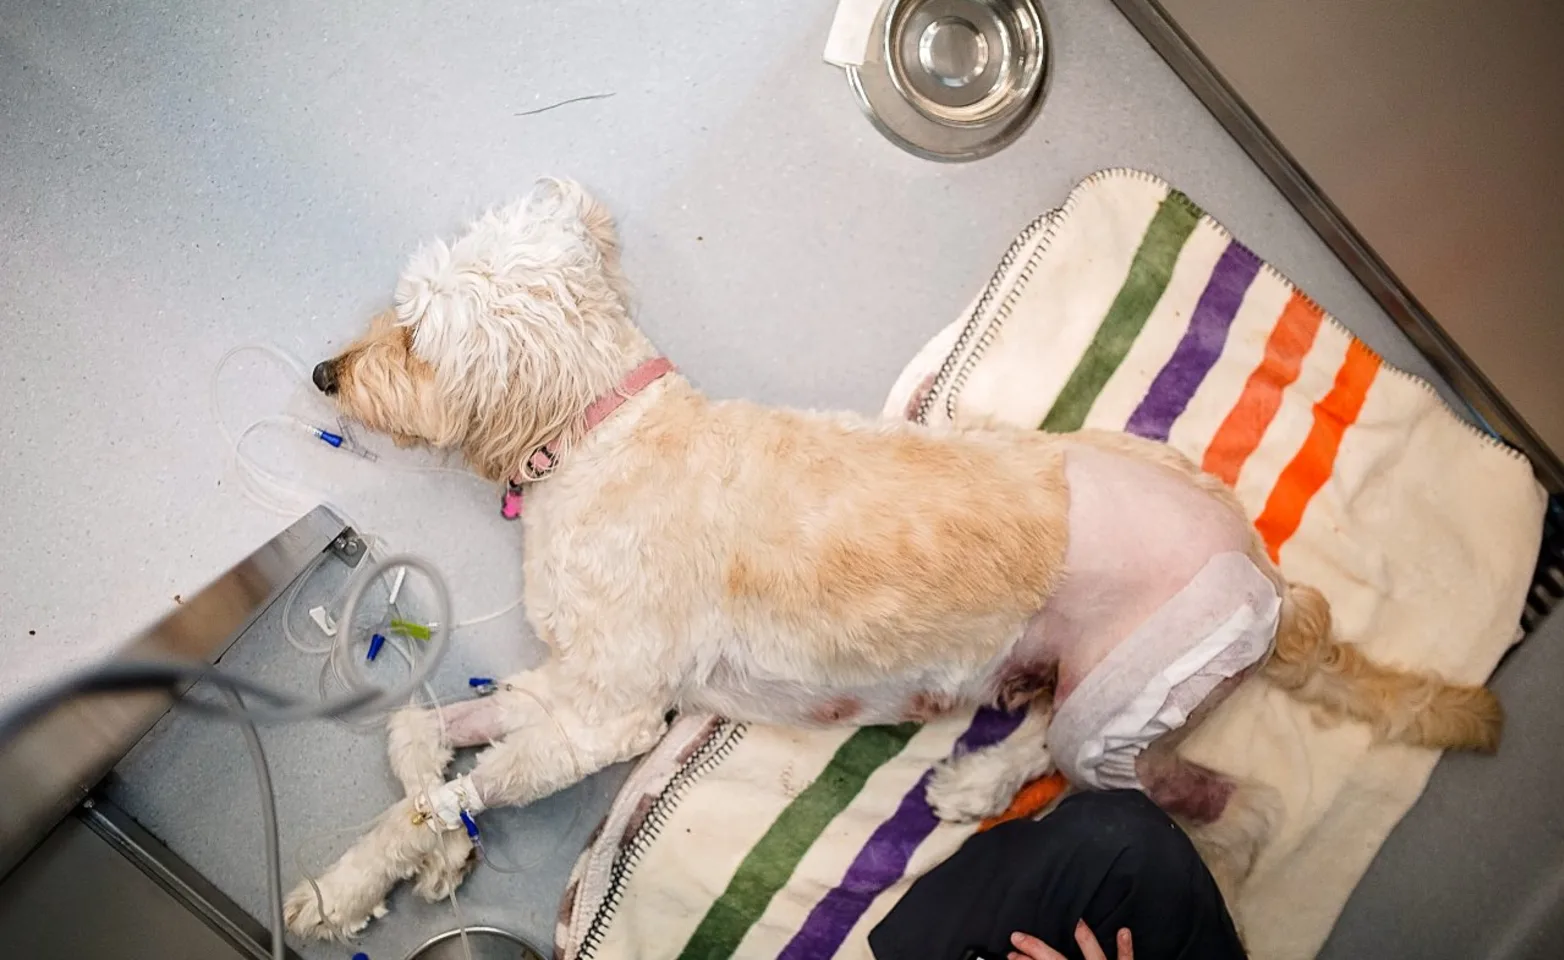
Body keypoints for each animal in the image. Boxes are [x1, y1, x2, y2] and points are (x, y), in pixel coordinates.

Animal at [284, 179, 1501, 938]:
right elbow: (414, 741)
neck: (606, 433)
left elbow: (444, 791)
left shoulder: (609, 714)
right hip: (1123, 690)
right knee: (1158, 776)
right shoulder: (562, 684)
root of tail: (1264, 572)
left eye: (412, 335)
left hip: (1123, 694)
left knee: (1155, 785)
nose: (322, 374)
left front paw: (379, 874)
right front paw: (412, 862)